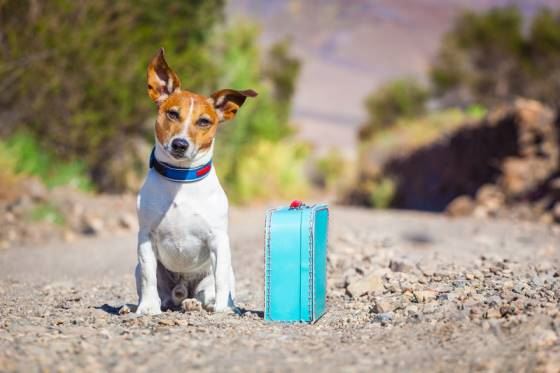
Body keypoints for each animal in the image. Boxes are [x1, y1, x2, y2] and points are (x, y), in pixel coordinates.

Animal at [136, 47, 258, 314]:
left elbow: (221, 279)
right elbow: (149, 277)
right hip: (143, 270)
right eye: (172, 114)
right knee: (161, 293)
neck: (181, 179)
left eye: (204, 121)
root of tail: (183, 288)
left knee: (208, 292)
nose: (180, 144)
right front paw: (146, 309)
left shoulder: (218, 240)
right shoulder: (146, 238)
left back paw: (199, 303)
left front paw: (223, 309)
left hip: (216, 276)